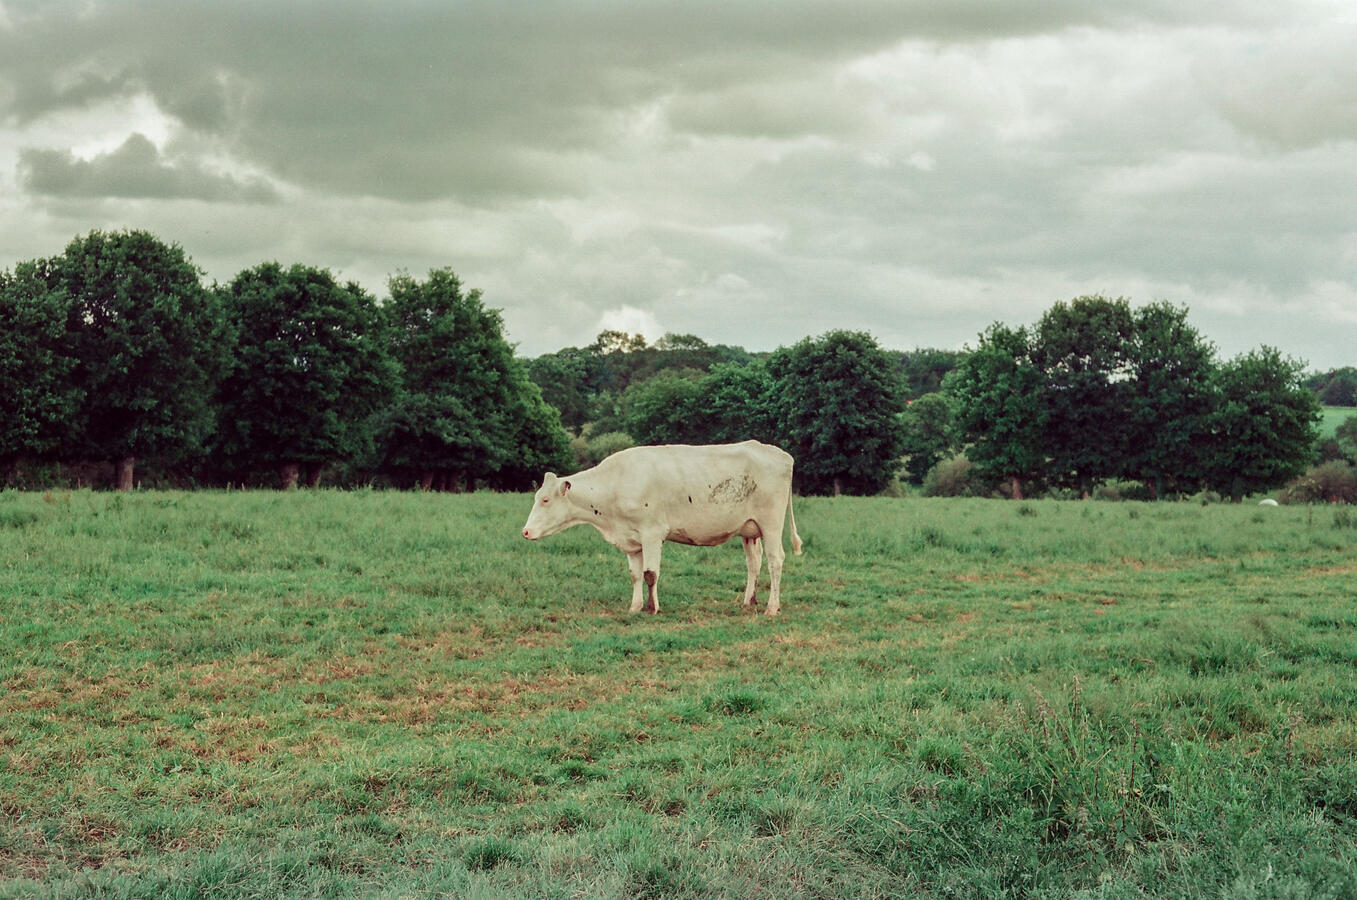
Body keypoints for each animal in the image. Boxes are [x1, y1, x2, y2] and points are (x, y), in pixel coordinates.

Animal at [521, 440, 803, 615]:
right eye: (537, 497)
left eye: (545, 500)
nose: (525, 531)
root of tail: (780, 455)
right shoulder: (632, 540)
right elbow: (635, 575)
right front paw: (635, 607)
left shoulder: (652, 533)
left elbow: (650, 574)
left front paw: (652, 608)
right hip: (749, 529)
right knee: (754, 563)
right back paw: (748, 602)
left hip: (771, 524)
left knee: (775, 560)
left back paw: (771, 607)